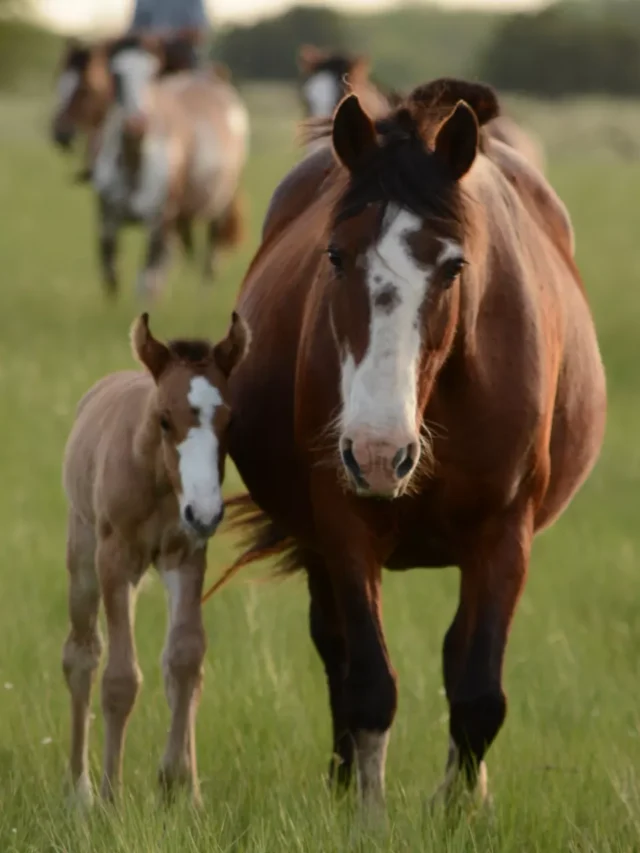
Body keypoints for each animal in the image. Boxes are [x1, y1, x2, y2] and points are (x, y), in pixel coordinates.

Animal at [61, 310, 250, 807]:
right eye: (165, 419)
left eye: (230, 420)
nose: (205, 511)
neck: (158, 479)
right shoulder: (114, 561)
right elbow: (120, 678)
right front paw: (111, 799)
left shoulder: (187, 556)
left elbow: (184, 659)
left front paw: (181, 787)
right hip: (83, 559)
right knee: (81, 655)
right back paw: (80, 790)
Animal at [87, 35, 248, 300]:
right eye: (116, 75)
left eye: (152, 74)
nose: (136, 124)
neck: (134, 165)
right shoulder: (107, 220)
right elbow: (110, 274)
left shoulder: (158, 224)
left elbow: (147, 282)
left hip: (219, 206)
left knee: (210, 259)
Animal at [207, 79, 606, 817]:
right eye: (336, 256)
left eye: (453, 266)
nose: (375, 451)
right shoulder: (343, 524)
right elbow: (368, 681)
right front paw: (365, 815)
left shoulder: (505, 533)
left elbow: (478, 691)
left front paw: (459, 813)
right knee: (335, 649)